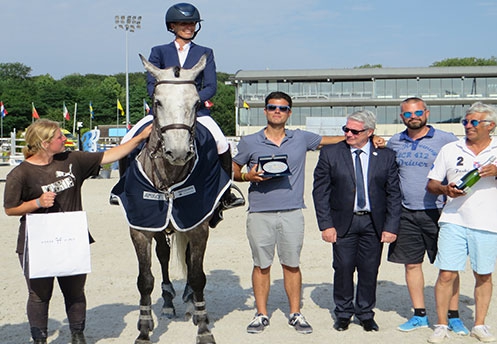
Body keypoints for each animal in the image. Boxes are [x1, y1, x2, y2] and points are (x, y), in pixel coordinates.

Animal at [110, 53, 229, 344]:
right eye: (156, 102)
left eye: (197, 103)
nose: (178, 152)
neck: (170, 176)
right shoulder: (141, 227)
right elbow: (145, 279)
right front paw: (143, 329)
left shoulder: (197, 226)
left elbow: (197, 276)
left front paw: (204, 328)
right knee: (163, 256)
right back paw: (166, 302)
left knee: (186, 260)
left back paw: (191, 304)